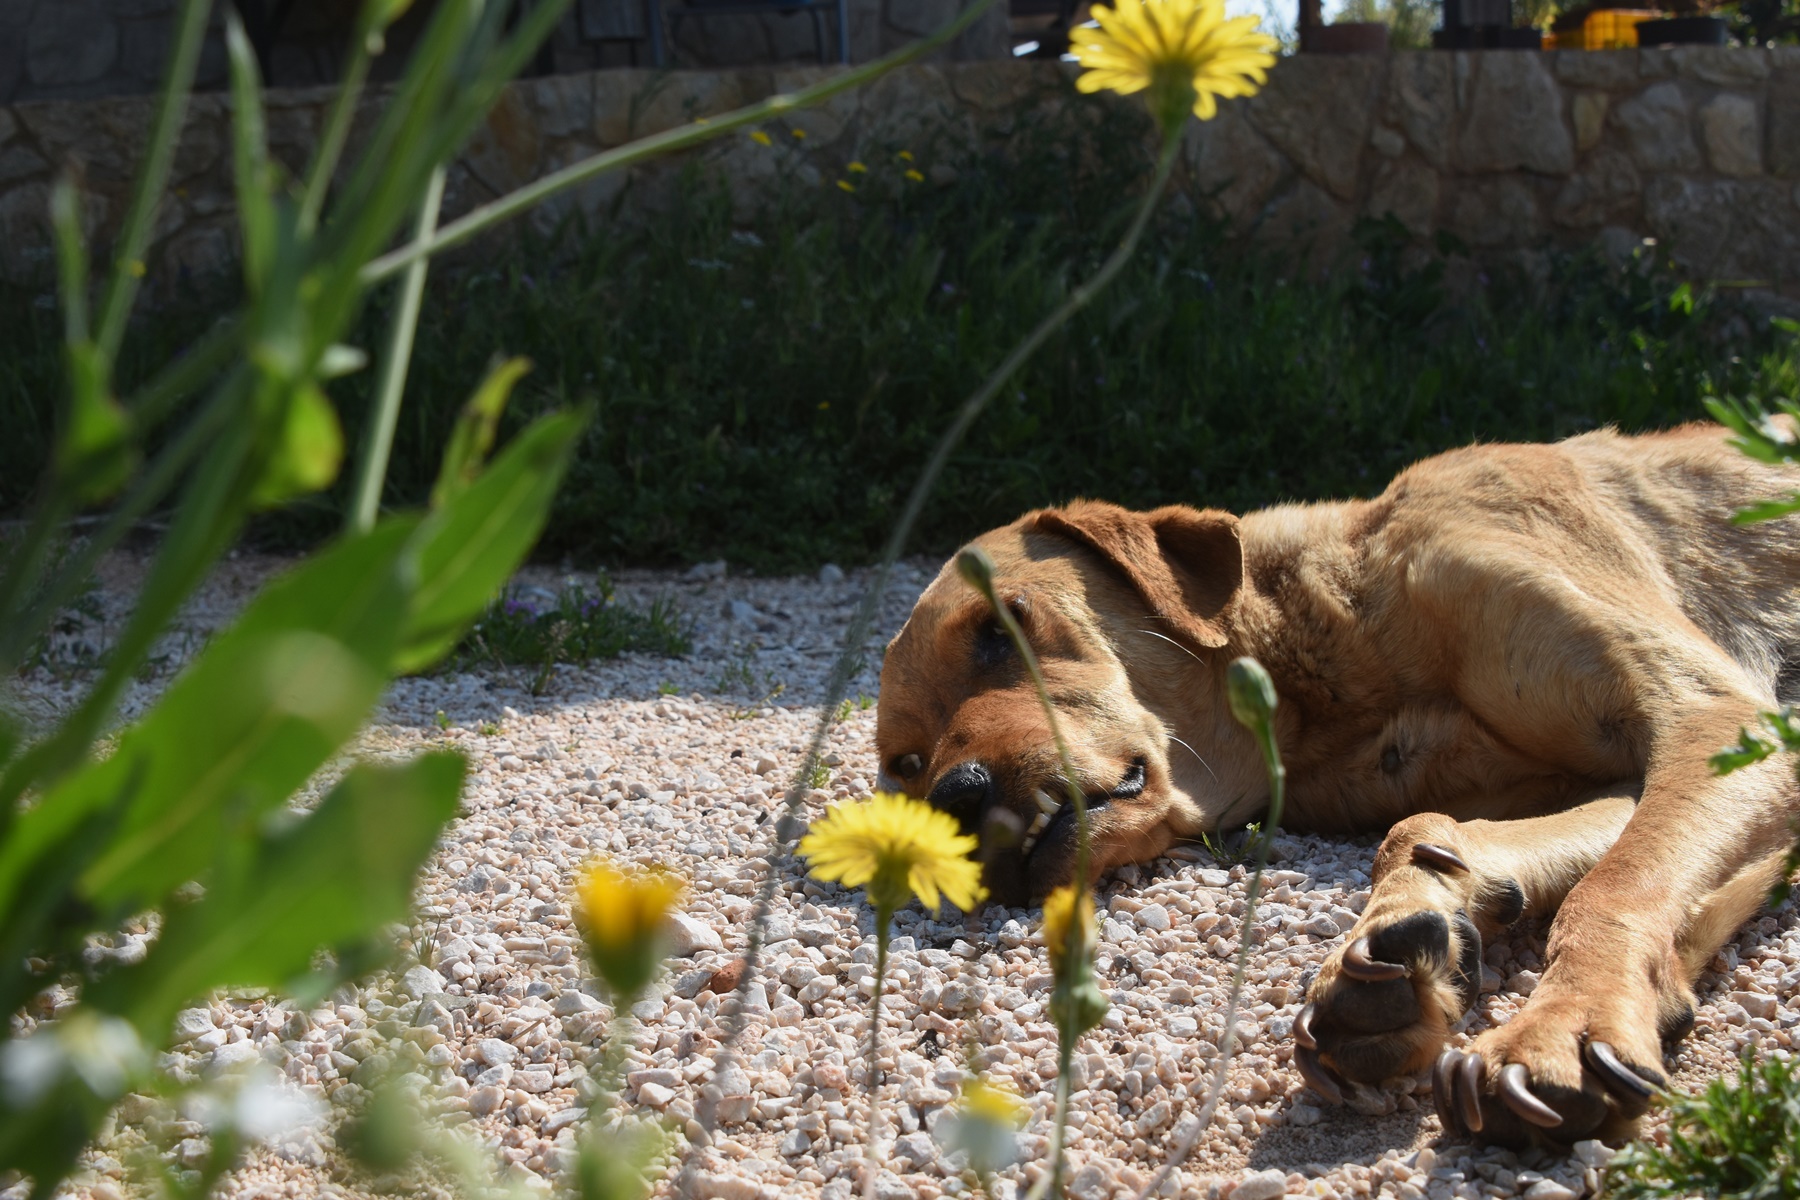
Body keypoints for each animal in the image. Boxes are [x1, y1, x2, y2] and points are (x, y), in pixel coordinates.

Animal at [874, 422, 1800, 1144]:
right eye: (905, 766)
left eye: (1000, 627)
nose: (958, 795)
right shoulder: (1608, 777)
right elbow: (1436, 831)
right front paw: (1421, 924)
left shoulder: (1722, 722)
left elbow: (1619, 885)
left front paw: (1561, 1026)